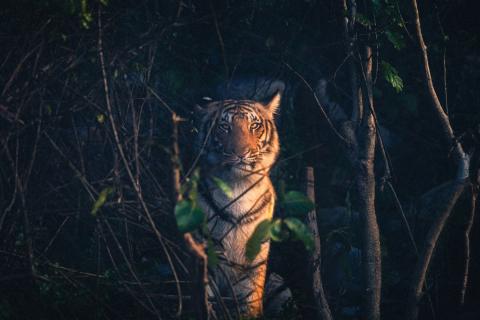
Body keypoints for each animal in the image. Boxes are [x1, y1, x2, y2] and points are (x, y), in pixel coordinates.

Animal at [194, 92, 280, 318]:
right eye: (224, 126)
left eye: (254, 126)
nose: (242, 153)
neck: (237, 186)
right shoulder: (207, 259)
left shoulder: (253, 267)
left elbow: (249, 305)